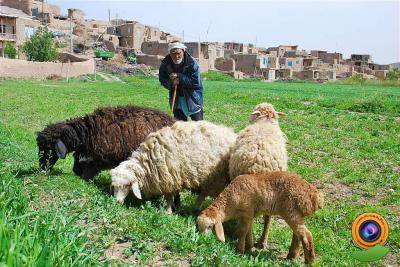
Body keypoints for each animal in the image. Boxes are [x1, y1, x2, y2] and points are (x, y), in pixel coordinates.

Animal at [110, 120, 238, 215]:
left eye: (127, 185)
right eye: (114, 186)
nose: (117, 201)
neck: (147, 159)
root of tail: (232, 135)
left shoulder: (169, 177)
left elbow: (168, 196)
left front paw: (168, 211)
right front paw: (171, 207)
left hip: (216, 177)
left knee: (206, 193)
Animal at [228, 102, 288, 249]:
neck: (265, 121)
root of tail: (256, 167)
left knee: (250, 218)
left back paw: (251, 243)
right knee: (265, 217)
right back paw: (259, 242)